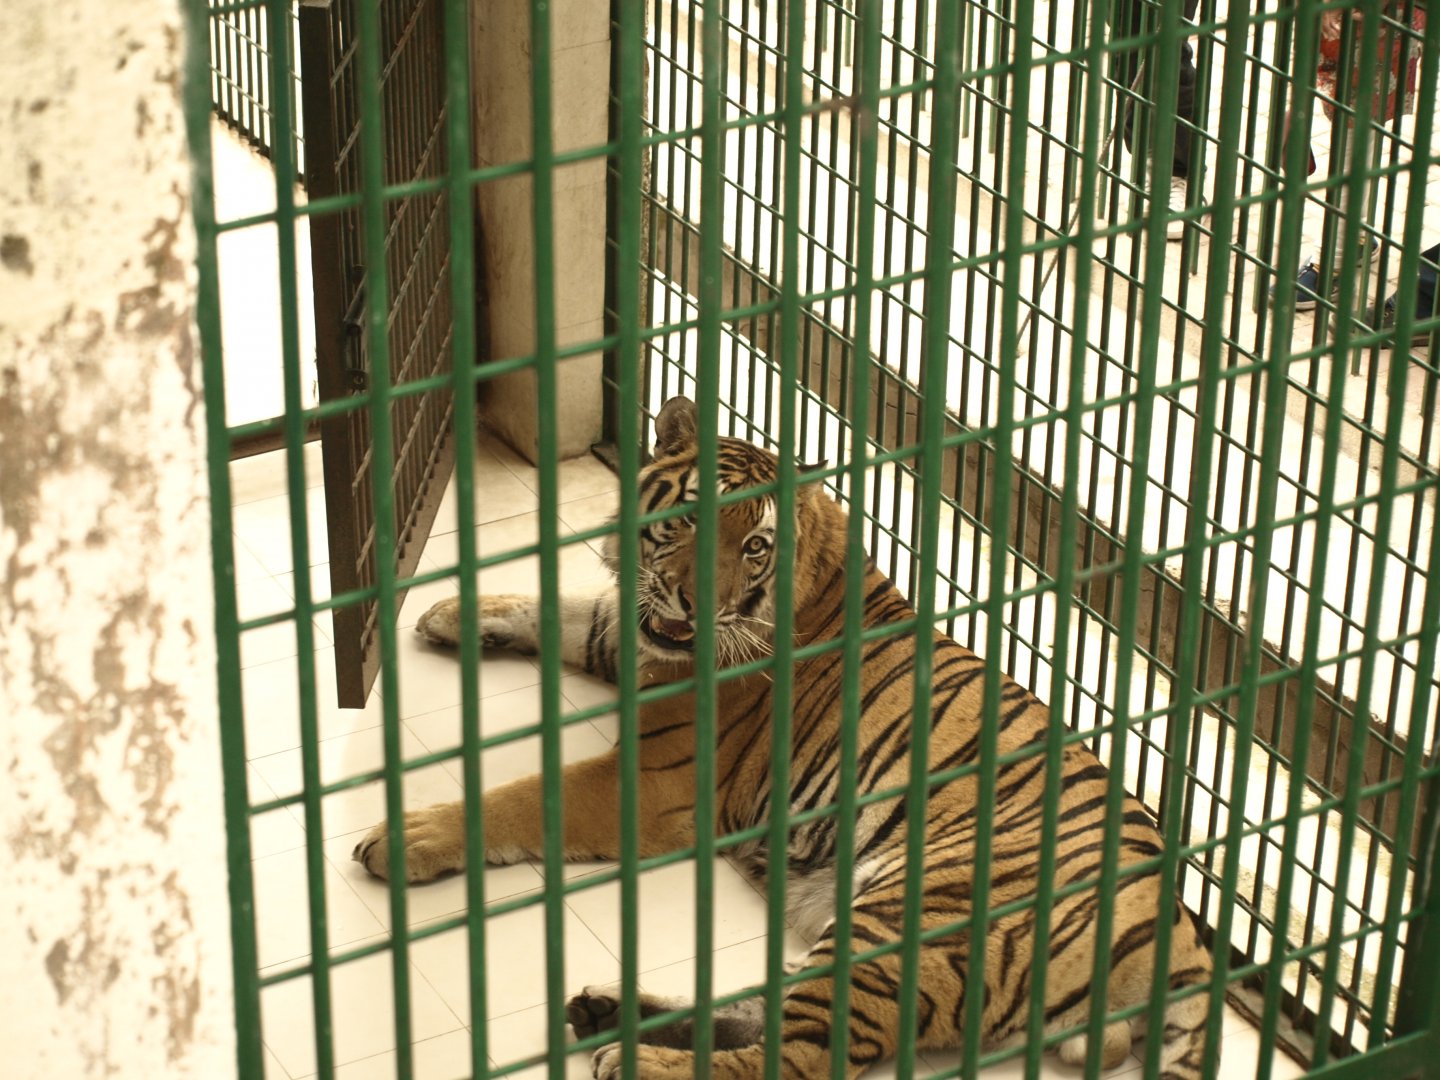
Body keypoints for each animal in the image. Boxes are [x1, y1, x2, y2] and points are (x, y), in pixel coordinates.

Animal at [353, 395, 1213, 1080]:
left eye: (755, 546)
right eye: (687, 519)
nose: (698, 601)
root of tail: (1186, 942)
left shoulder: (660, 779)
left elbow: (524, 797)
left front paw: (409, 837)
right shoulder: (637, 632)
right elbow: (568, 609)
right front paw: (454, 612)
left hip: (911, 915)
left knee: (800, 1057)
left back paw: (634, 1058)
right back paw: (611, 1011)